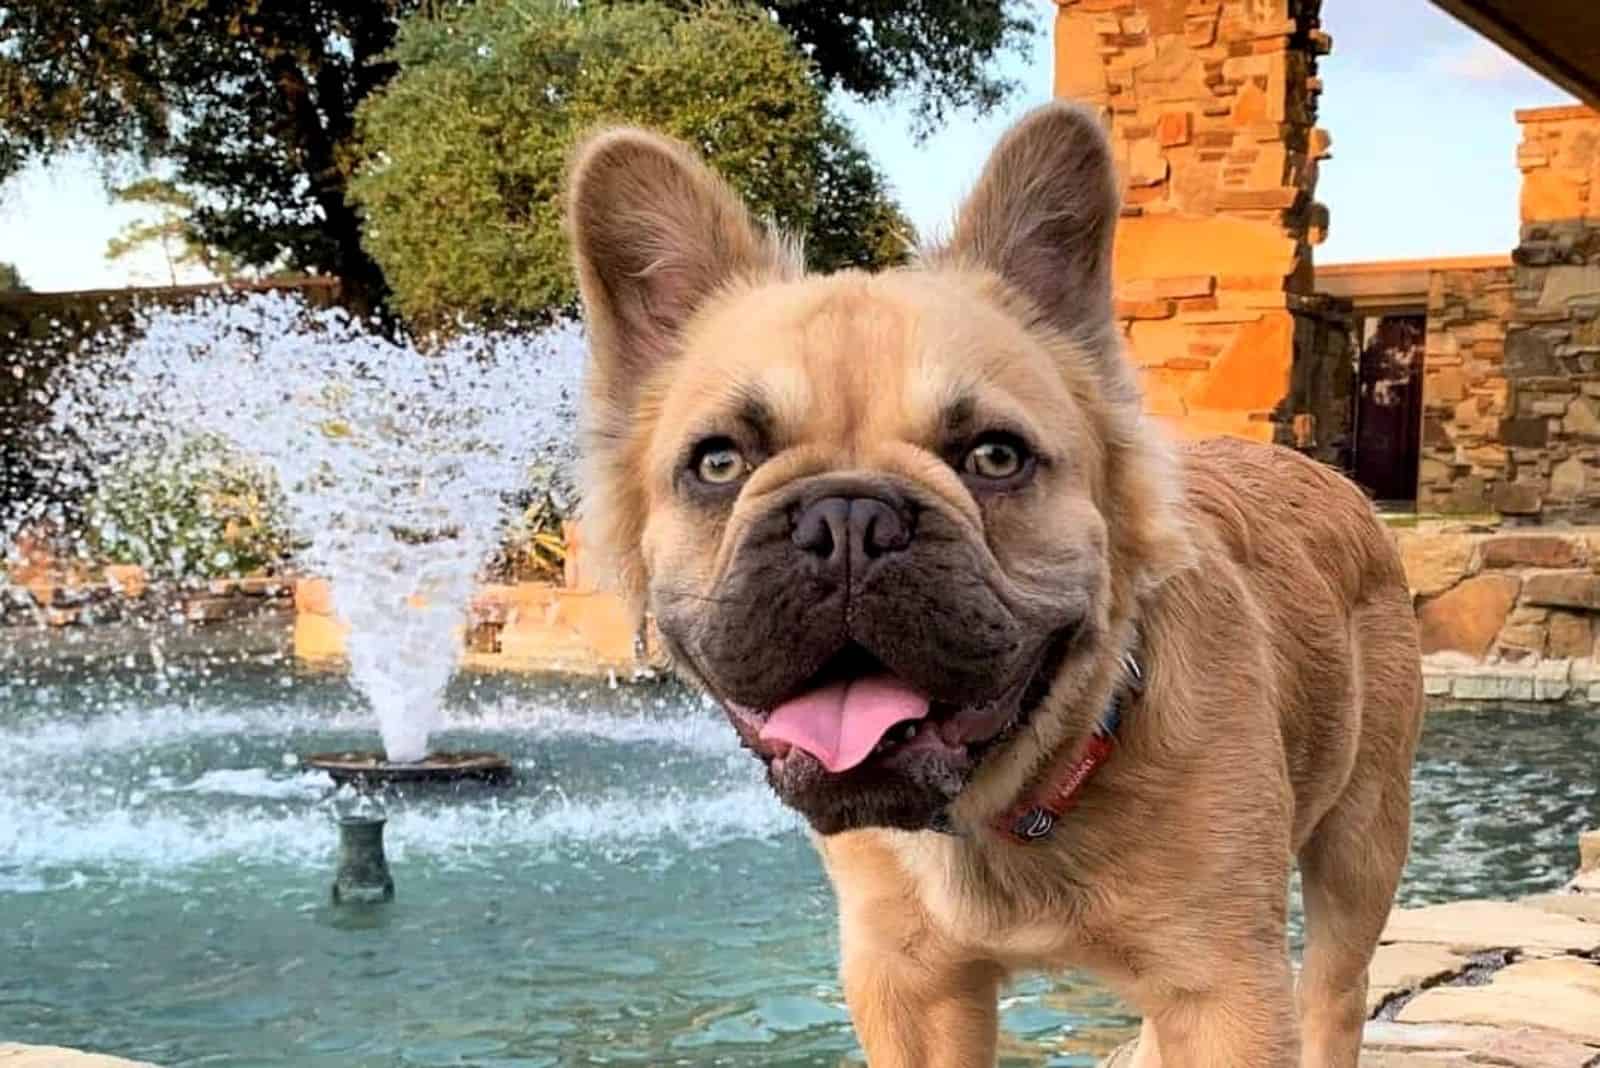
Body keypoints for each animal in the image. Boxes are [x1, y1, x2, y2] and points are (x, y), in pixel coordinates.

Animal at [566, 99, 1427, 1068]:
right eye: (718, 463)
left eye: (995, 457)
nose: (848, 519)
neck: (1018, 798)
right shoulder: (910, 987)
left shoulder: (1226, 993)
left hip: (1360, 850)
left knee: (1337, 990)